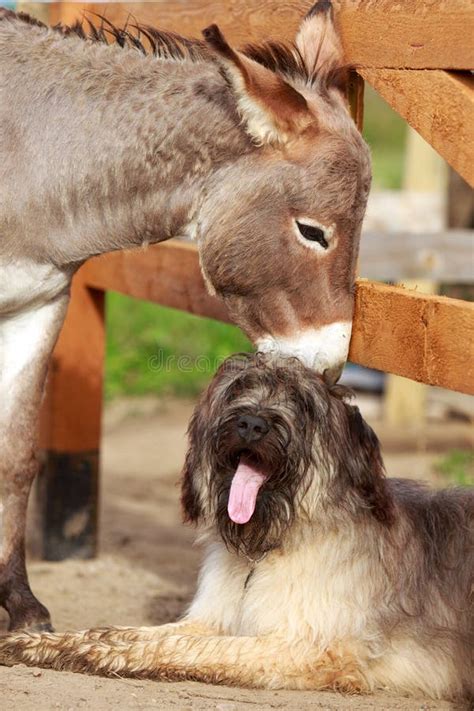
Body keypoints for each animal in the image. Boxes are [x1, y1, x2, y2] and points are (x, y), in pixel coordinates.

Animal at [0, 356, 474, 700]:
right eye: (238, 390)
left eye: (301, 403)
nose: (251, 423)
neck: (267, 544)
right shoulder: (216, 617)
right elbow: (132, 633)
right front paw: (46, 643)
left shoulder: (301, 647)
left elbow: (180, 648)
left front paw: (99, 655)